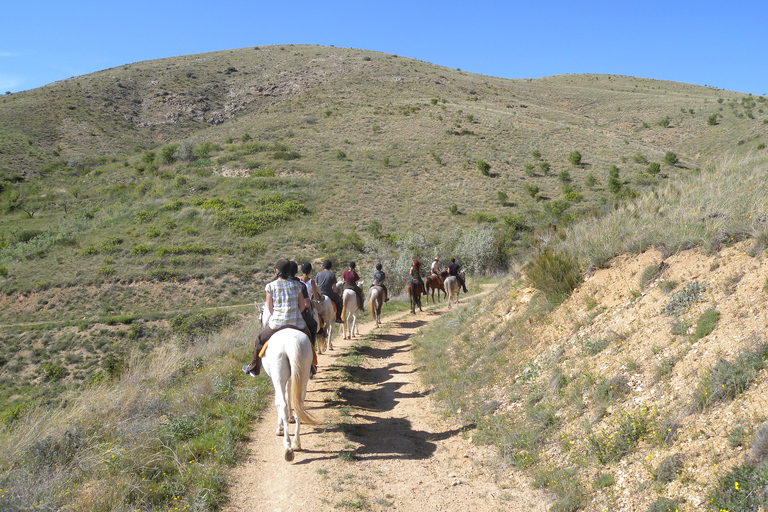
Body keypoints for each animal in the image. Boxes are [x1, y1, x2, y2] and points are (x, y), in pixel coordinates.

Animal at [258, 306, 318, 462]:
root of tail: (291, 342)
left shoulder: (275, 379)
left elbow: (280, 401)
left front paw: (279, 427)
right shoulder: (292, 378)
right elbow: (289, 393)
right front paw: (290, 418)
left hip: (279, 375)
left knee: (283, 404)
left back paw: (288, 446)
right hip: (303, 374)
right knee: (299, 405)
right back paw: (297, 443)